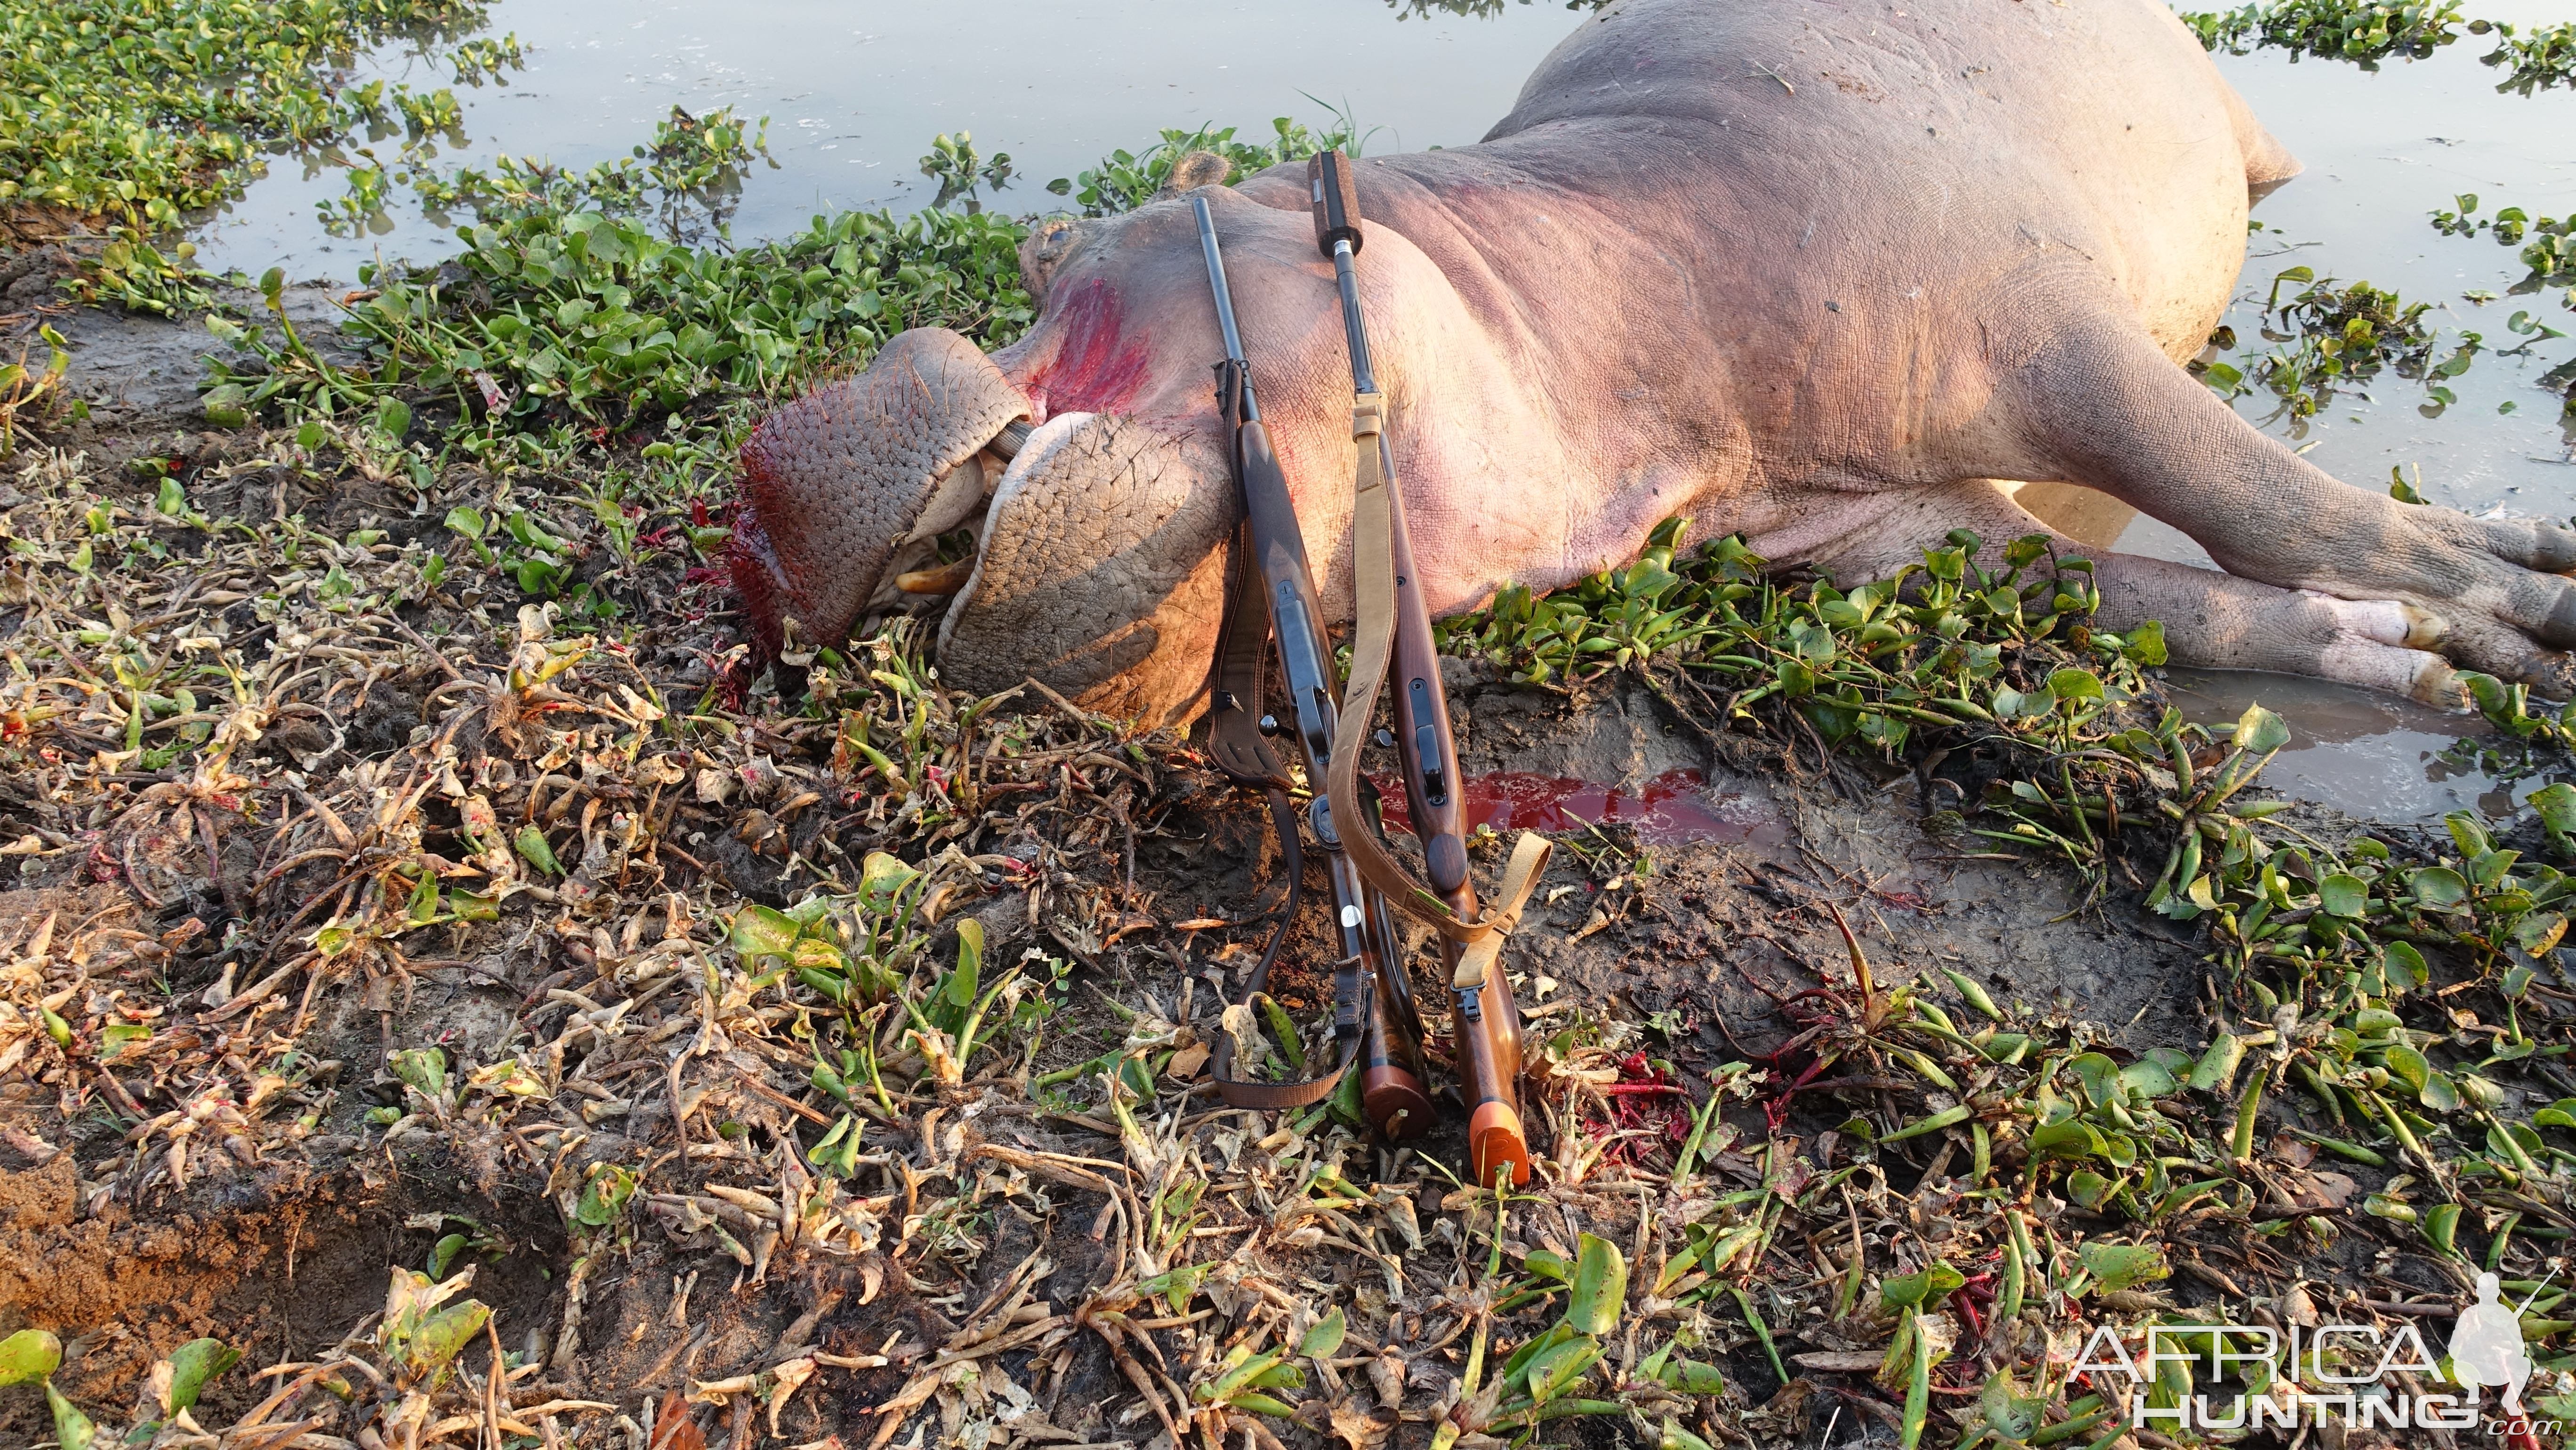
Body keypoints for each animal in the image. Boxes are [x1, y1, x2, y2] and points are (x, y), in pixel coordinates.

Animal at [726, 0, 2576, 721]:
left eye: (1053, 255)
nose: (754, 504)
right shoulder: (1864, 526)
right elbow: (2150, 602)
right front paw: (2421, 660)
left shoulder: (2052, 337)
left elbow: (2274, 504)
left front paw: (2529, 611)